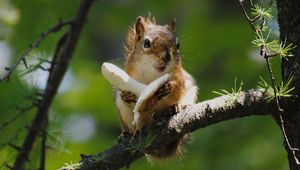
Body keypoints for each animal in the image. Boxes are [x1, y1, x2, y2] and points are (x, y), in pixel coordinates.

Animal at [114, 15, 197, 158]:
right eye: (146, 43)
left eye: (178, 44)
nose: (167, 56)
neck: (153, 75)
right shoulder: (129, 76)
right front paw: (127, 95)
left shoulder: (179, 75)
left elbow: (177, 87)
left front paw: (169, 87)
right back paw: (127, 133)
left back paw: (174, 108)